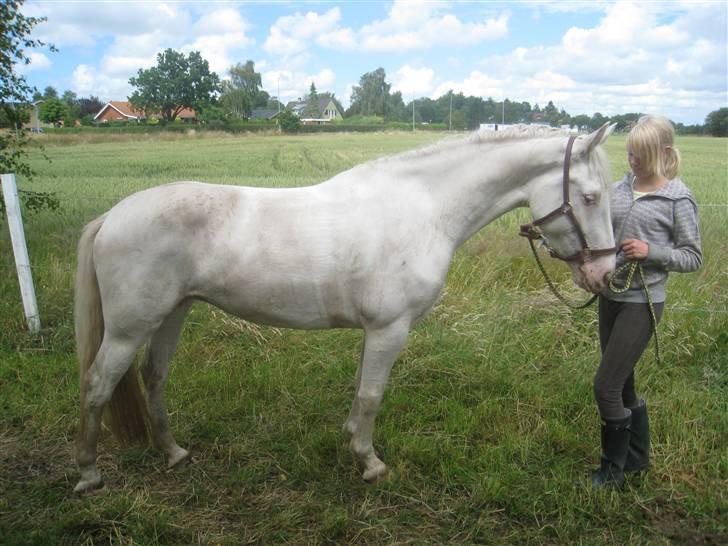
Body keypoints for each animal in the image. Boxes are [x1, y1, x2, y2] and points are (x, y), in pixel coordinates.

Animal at [74, 125, 616, 490]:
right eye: (590, 197)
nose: (606, 273)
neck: (424, 208)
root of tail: (112, 216)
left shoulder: (375, 332)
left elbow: (360, 391)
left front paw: (352, 442)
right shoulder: (389, 329)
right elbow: (373, 395)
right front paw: (370, 462)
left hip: (173, 313)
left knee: (154, 377)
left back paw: (173, 452)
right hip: (129, 327)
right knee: (98, 385)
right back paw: (88, 473)